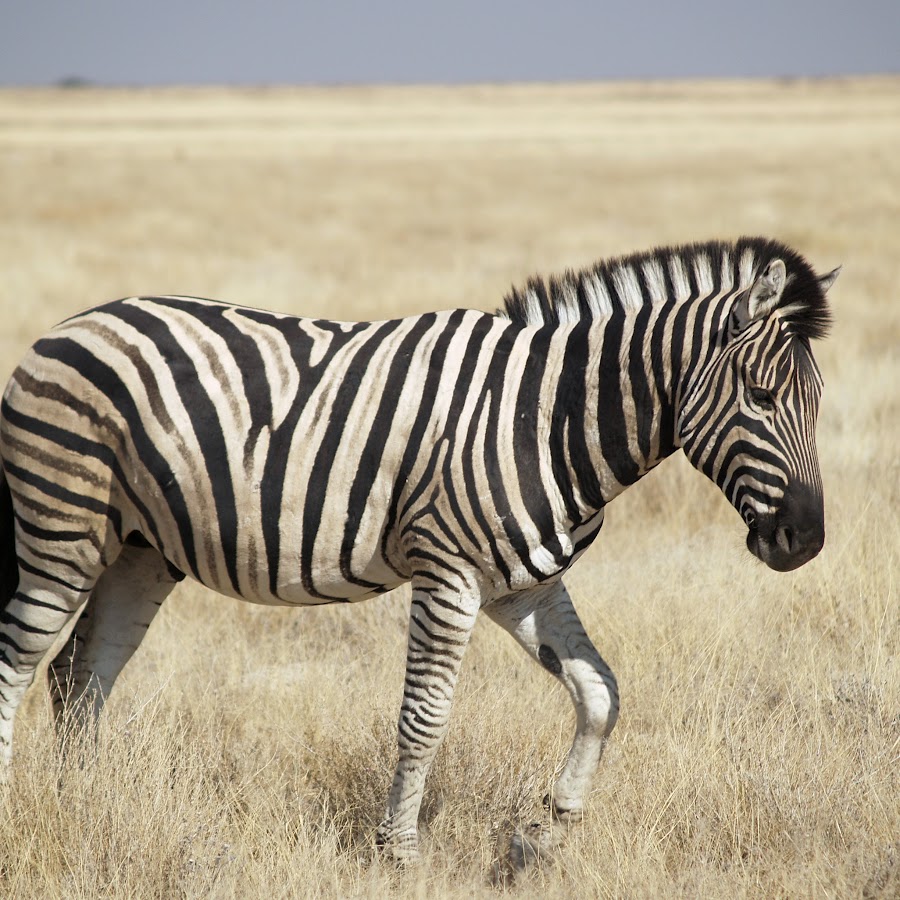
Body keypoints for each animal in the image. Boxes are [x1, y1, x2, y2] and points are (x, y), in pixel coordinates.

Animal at [0, 237, 837, 866]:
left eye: (818, 404)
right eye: (762, 396)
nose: (806, 542)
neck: (550, 419)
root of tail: (75, 323)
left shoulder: (523, 585)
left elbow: (600, 691)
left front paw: (555, 826)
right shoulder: (449, 573)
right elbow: (424, 717)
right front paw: (397, 851)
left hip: (140, 549)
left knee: (81, 676)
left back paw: (85, 805)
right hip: (63, 528)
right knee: (21, 658)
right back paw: (14, 809)